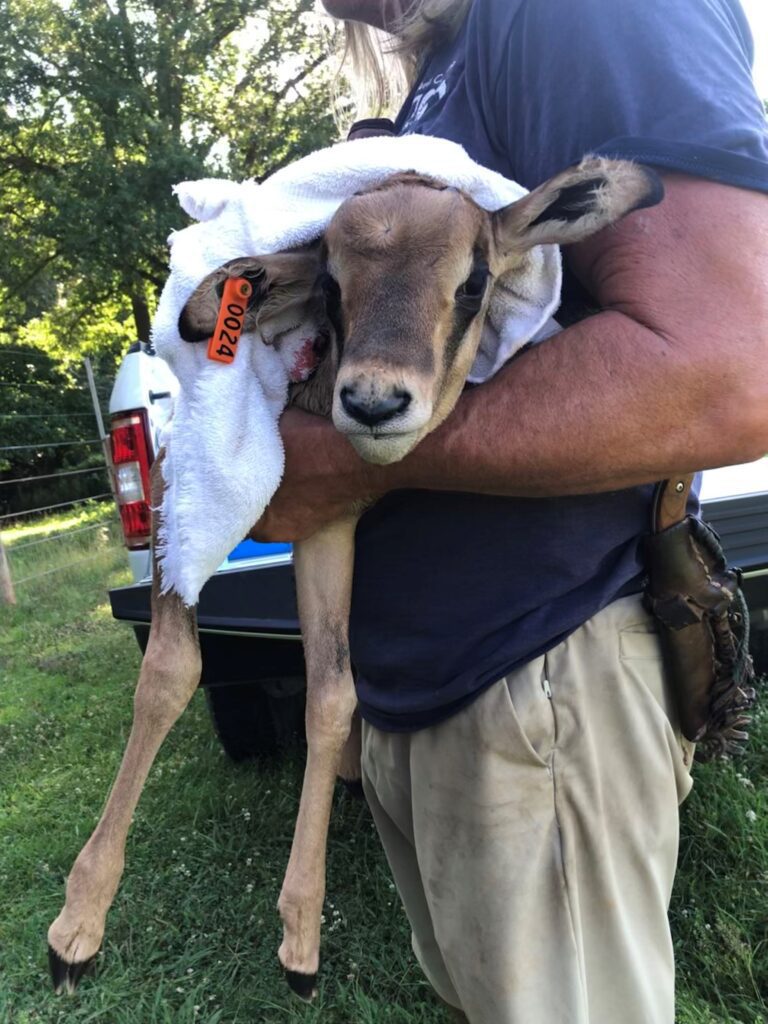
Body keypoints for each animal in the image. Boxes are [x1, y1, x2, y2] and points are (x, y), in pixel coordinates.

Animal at [46, 155, 663, 995]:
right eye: (332, 284)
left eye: (474, 281)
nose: (374, 402)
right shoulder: (184, 499)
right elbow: (170, 673)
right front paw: (76, 929)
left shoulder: (327, 526)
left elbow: (331, 693)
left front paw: (300, 937)